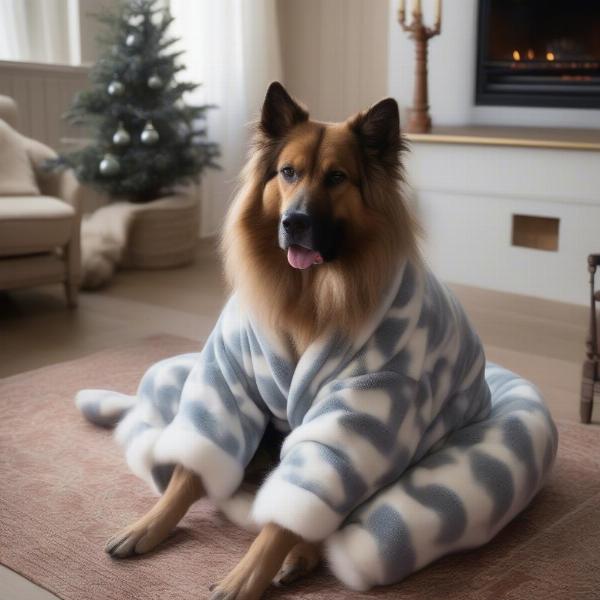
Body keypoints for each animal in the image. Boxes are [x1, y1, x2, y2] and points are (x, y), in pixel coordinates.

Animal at [76, 83, 556, 600]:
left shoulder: (357, 412)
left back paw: (300, 555)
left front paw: (248, 574)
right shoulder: (228, 383)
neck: (311, 293)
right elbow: (190, 472)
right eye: (288, 172)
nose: (294, 222)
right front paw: (148, 524)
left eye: (337, 177)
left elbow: (291, 510)